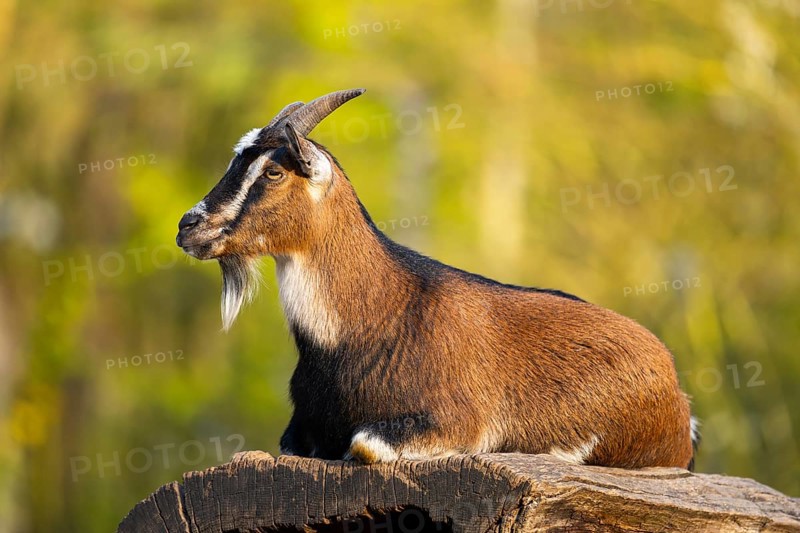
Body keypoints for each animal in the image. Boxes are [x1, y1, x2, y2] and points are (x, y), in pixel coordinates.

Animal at [176, 89, 699, 469]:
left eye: (274, 171)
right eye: (236, 160)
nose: (189, 227)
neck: (368, 323)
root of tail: (679, 394)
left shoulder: (456, 422)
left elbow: (364, 443)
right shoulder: (300, 430)